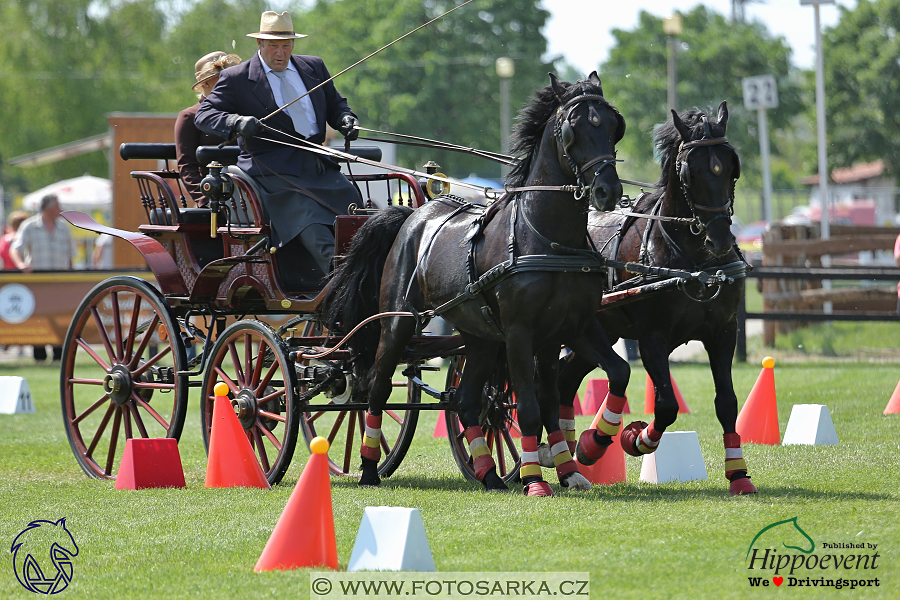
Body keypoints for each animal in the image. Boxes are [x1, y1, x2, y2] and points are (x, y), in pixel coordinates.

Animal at [324, 74, 624, 496]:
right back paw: (368, 468)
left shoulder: (569, 328)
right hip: (397, 324)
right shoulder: (519, 333)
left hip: (478, 337)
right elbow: (530, 408)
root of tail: (412, 215)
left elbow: (602, 380)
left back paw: (488, 473)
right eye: (574, 128)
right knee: (376, 388)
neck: (548, 240)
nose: (608, 191)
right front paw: (536, 481)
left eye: (614, 126)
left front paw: (582, 455)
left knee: (466, 401)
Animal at [560, 103, 756, 494]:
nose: (720, 239)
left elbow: (727, 402)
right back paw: (583, 447)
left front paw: (739, 475)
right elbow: (665, 405)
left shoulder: (724, 332)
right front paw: (634, 438)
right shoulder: (652, 338)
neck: (695, 262)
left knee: (564, 379)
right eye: (690, 171)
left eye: (731, 167)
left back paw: (571, 454)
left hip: (597, 333)